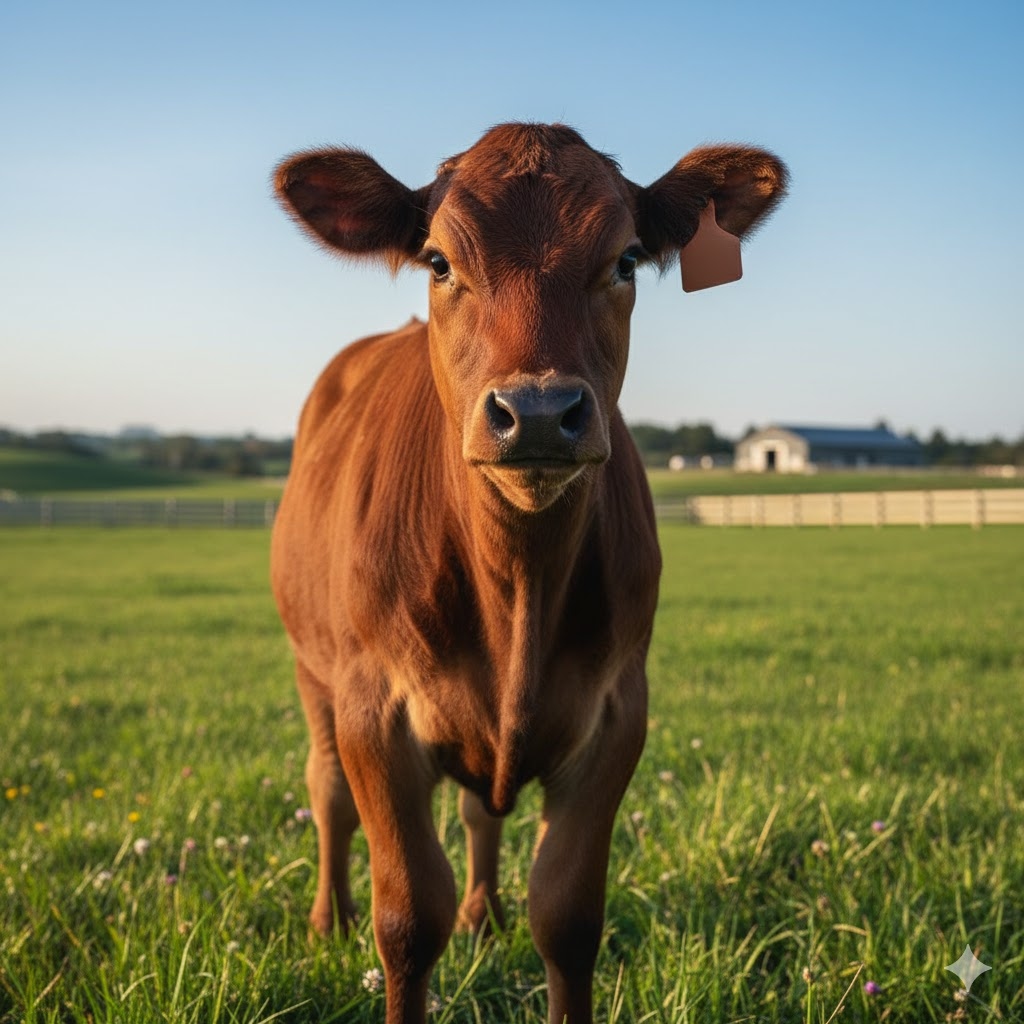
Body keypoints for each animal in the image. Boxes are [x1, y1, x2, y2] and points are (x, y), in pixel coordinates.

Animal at [271, 122, 786, 1024]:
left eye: (625, 260)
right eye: (440, 260)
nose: (539, 412)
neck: (516, 586)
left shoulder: (616, 710)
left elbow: (567, 918)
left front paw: (507, 920)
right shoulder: (375, 709)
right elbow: (408, 919)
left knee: (480, 810)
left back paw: (485, 916)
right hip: (314, 671)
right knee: (327, 788)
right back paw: (328, 919)